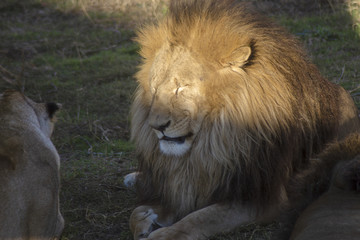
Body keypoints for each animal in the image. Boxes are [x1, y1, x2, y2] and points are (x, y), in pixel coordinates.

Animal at [129, 0, 360, 239]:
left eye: (181, 87)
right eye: (154, 88)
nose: (156, 126)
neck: (210, 144)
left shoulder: (263, 198)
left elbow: (201, 218)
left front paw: (164, 234)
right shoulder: (190, 185)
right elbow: (137, 212)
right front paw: (146, 221)